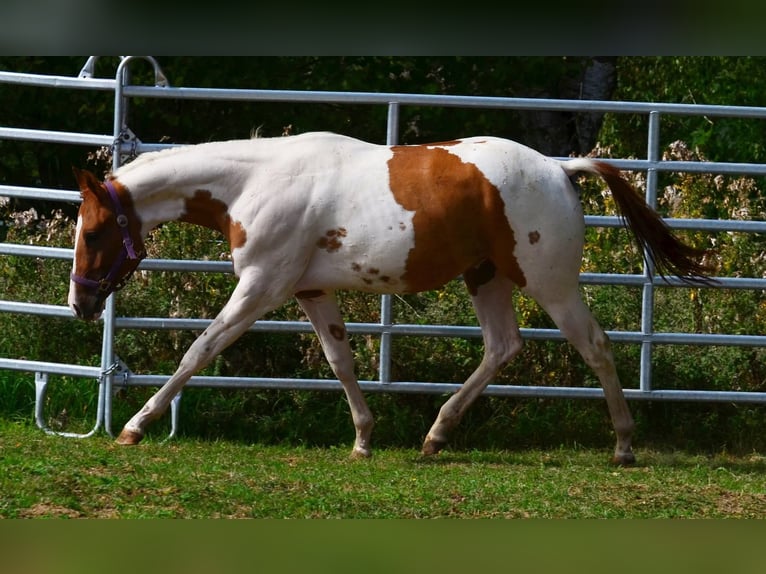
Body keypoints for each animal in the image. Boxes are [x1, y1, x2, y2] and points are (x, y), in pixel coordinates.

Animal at [68, 131, 713, 465]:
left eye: (94, 232)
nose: (80, 304)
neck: (254, 182)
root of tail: (560, 169)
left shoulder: (260, 288)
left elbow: (199, 351)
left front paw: (134, 426)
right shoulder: (310, 290)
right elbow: (341, 361)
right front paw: (362, 439)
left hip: (549, 283)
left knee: (596, 346)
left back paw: (624, 445)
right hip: (486, 278)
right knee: (503, 347)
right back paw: (435, 436)